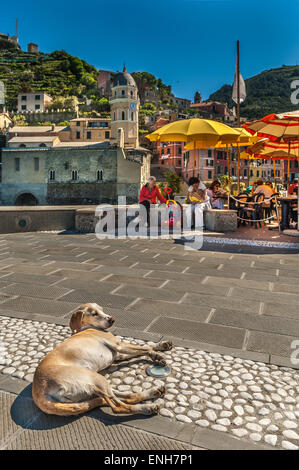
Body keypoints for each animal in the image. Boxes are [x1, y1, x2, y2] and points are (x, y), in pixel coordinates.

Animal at [32, 304, 173, 414]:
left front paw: (162, 346)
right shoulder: (119, 345)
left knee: (125, 397)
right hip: (95, 379)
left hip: (94, 386)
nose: (112, 319)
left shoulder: (117, 354)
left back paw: (154, 392)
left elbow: (144, 347)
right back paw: (147, 407)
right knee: (119, 407)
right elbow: (144, 348)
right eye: (94, 314)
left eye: (102, 309)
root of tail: (39, 391)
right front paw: (157, 356)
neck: (87, 327)